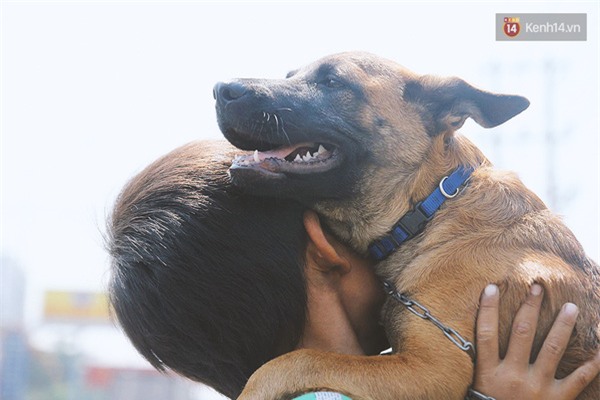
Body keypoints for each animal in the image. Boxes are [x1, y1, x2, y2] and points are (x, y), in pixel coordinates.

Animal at [213, 51, 596, 398]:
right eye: (290, 75)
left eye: (332, 81)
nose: (219, 89)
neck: (430, 208)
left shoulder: (432, 369)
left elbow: (301, 360)